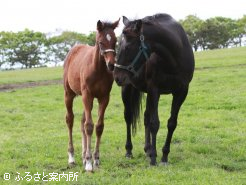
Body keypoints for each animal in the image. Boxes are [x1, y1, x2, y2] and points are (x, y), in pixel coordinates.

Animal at [63, 19, 119, 172]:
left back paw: (82, 156)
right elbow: (89, 126)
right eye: (100, 42)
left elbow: (99, 126)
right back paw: (72, 158)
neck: (98, 69)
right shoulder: (87, 95)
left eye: (115, 41)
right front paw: (89, 163)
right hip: (69, 94)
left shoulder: (104, 97)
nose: (111, 65)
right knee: (70, 120)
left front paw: (96, 159)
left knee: (82, 121)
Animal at [113, 13, 194, 165]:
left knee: (145, 117)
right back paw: (129, 150)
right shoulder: (154, 89)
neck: (173, 59)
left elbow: (171, 123)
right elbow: (154, 123)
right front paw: (154, 158)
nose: (116, 76)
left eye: (128, 47)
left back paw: (147, 149)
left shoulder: (181, 92)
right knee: (128, 117)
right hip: (128, 89)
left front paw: (164, 156)